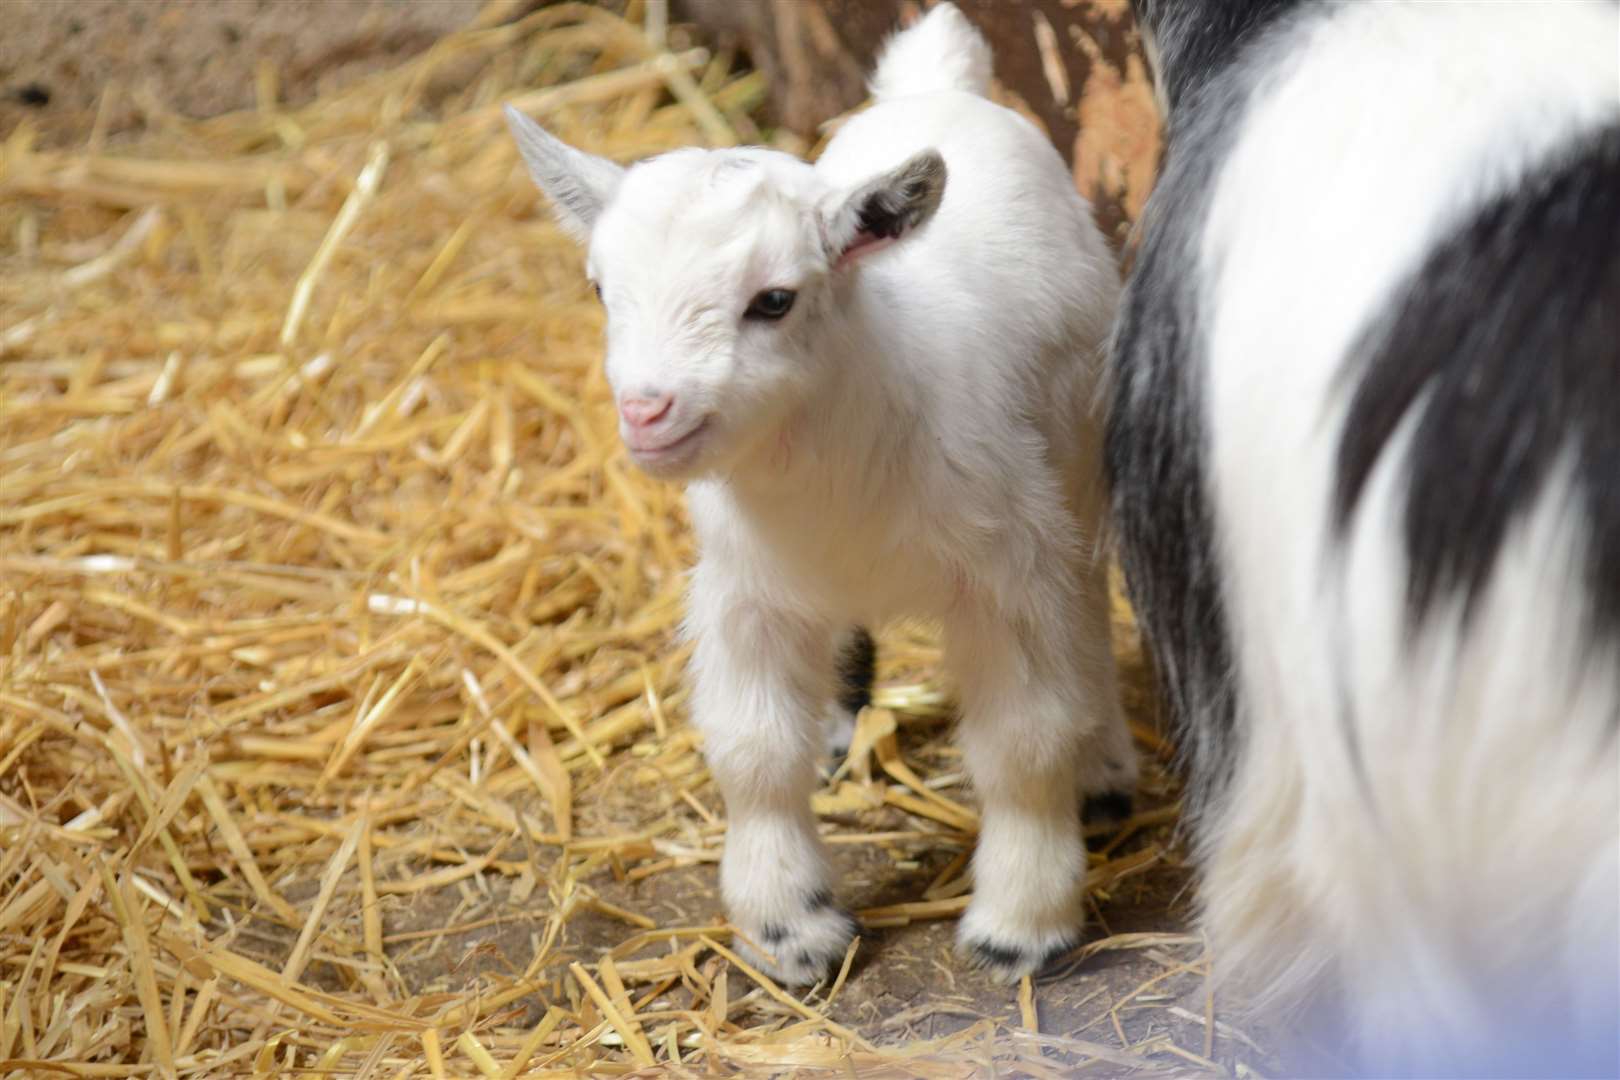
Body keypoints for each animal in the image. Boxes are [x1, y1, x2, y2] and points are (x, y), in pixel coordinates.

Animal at [498, 0, 1134, 984]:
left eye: (774, 300)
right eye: (600, 288)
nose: (648, 411)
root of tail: (937, 86)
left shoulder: (1008, 577)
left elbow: (1022, 741)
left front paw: (1022, 925)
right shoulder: (745, 591)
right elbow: (753, 751)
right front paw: (789, 930)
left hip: (1077, 450)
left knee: (1089, 598)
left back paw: (1102, 769)